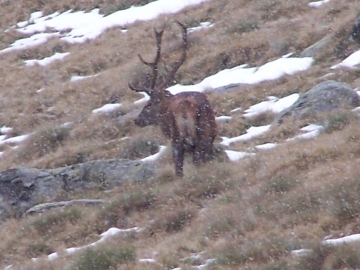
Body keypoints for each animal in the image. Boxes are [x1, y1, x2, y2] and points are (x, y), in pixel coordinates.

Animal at [131, 21, 218, 177]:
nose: (137, 120)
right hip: (204, 136)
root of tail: (185, 105)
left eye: (148, 104)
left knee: (182, 168)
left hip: (181, 138)